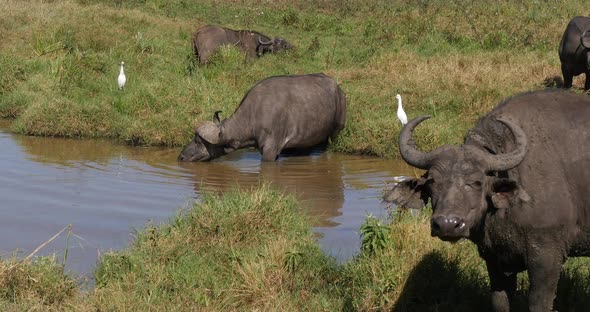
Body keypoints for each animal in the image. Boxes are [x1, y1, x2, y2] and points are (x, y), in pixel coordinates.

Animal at [179, 73, 346, 161]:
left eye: (198, 141)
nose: (180, 157)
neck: (254, 115)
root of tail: (338, 89)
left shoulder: (270, 150)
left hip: (336, 131)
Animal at [386, 89, 590, 310]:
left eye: (476, 182)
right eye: (433, 181)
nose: (447, 224)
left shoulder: (547, 256)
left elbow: (538, 303)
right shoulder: (493, 259)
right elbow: (499, 302)